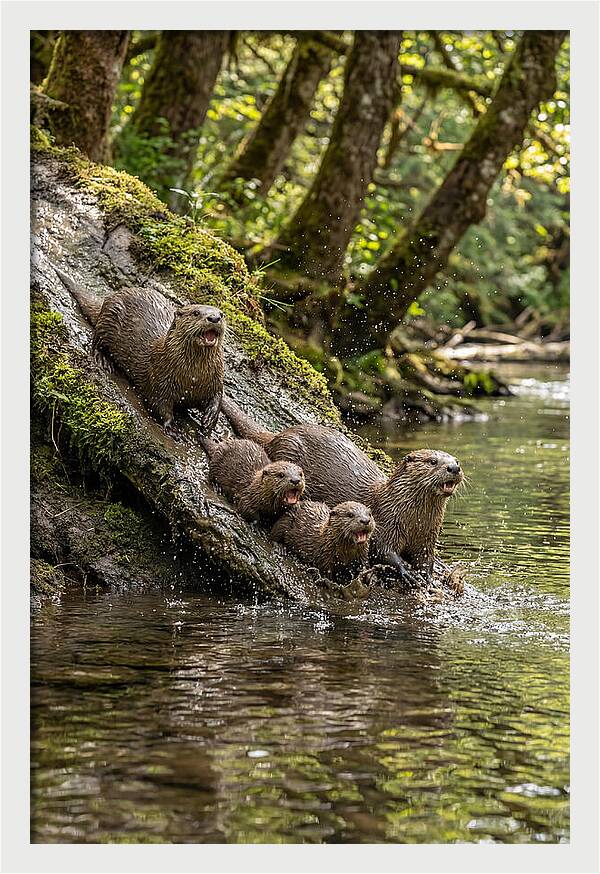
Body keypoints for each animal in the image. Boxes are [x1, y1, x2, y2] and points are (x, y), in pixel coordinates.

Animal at [54, 267, 225, 434]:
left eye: (222, 314)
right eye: (196, 313)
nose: (214, 318)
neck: (193, 378)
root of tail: (112, 296)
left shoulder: (215, 379)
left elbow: (218, 396)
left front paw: (210, 419)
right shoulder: (159, 379)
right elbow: (159, 404)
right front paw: (172, 426)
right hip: (109, 317)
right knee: (96, 338)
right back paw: (102, 359)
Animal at [221, 396, 463, 576]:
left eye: (456, 460)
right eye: (433, 461)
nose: (453, 468)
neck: (414, 520)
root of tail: (280, 435)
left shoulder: (428, 537)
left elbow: (426, 558)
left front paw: (427, 575)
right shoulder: (386, 524)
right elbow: (383, 550)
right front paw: (406, 571)